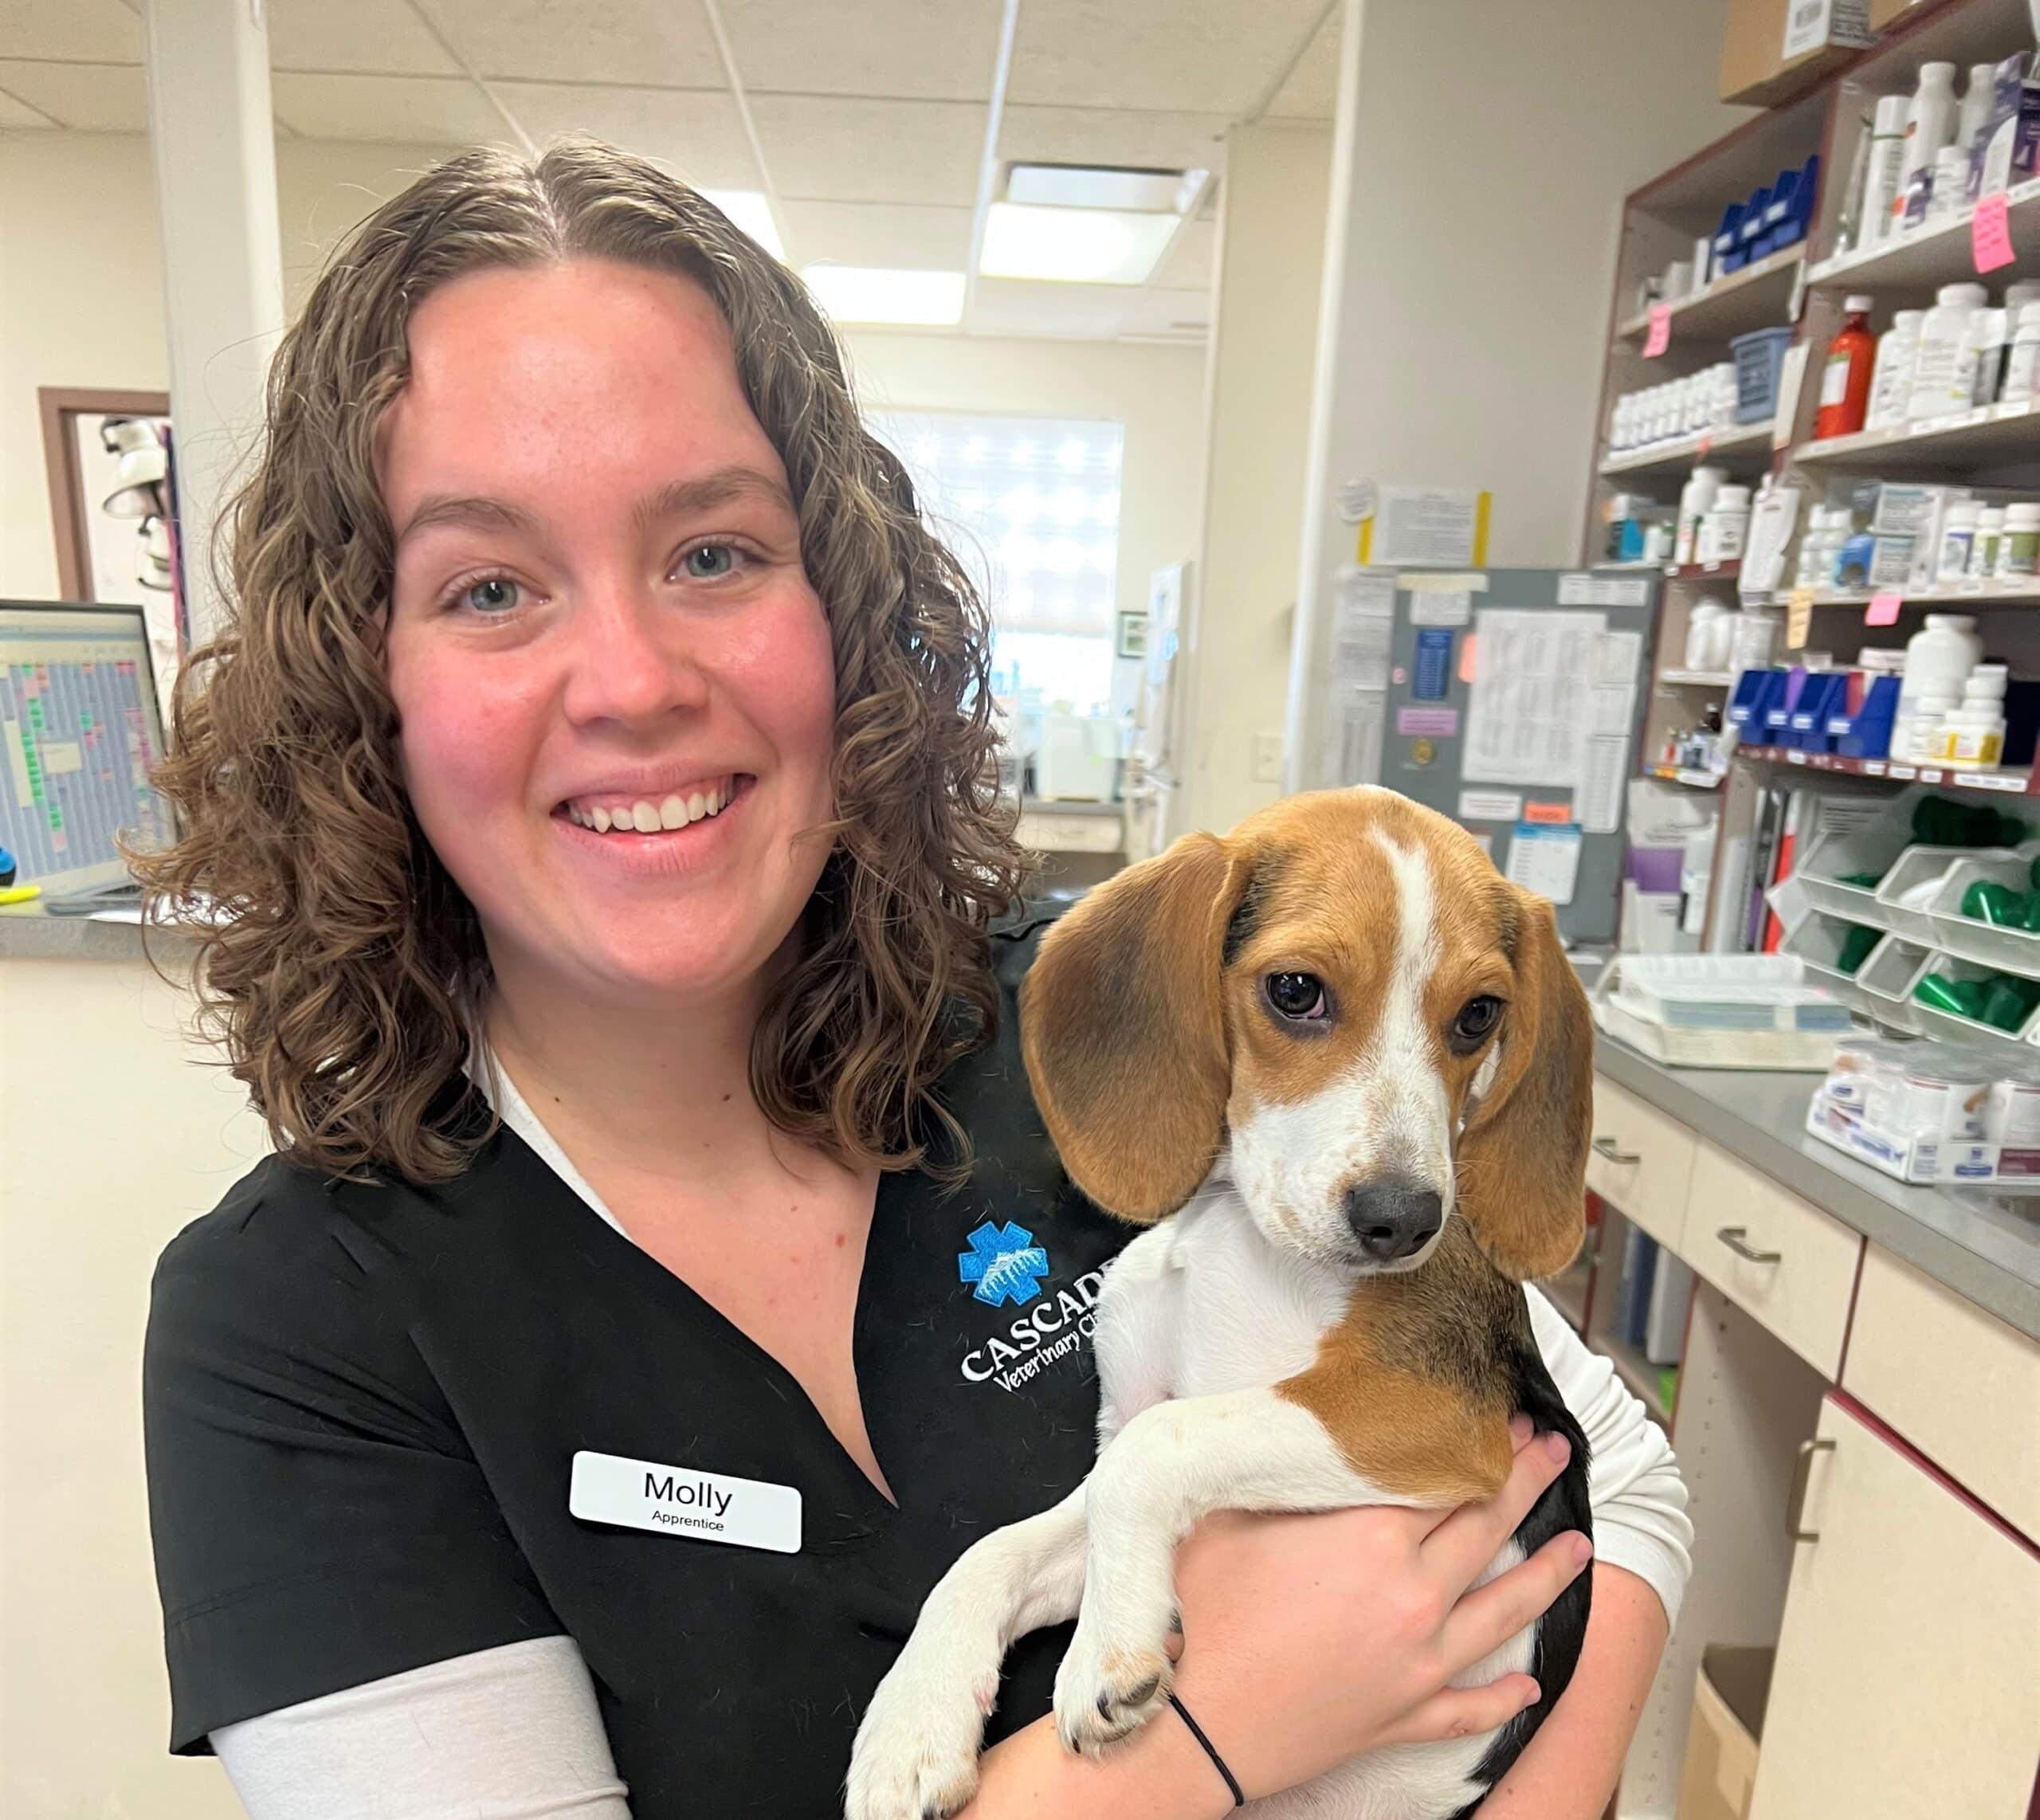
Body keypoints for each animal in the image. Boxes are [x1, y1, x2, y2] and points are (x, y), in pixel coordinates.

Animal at [844, 787, 1591, 1820]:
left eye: (1480, 1015)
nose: (1404, 1221)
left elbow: (1157, 1451)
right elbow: (992, 1551)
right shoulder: (1130, 1433)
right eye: (1295, 991)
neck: (1241, 1229)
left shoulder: (1430, 1415)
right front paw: (909, 1727)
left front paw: (1105, 1649)